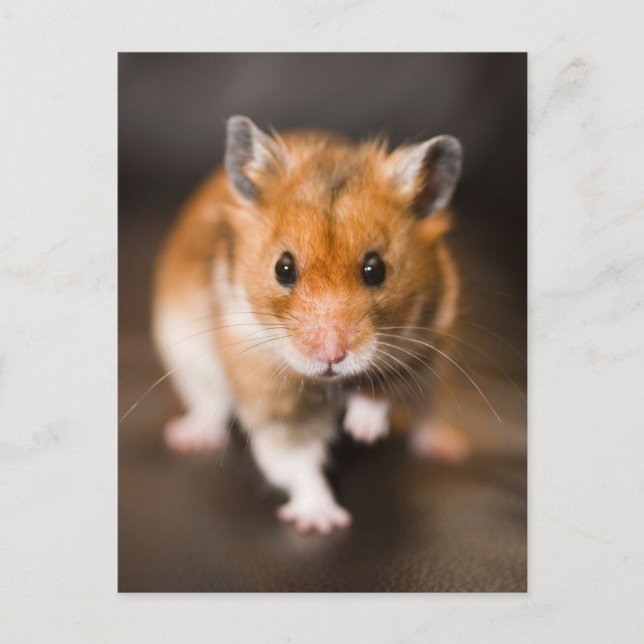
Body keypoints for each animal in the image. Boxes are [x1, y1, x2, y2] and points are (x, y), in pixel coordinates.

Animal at [153, 115, 464, 534]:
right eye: (283, 268)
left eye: (376, 268)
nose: (331, 356)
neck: (330, 385)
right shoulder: (270, 398)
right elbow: (295, 461)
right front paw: (323, 524)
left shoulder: (426, 342)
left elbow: (386, 387)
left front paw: (363, 432)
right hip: (189, 361)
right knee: (208, 406)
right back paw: (188, 439)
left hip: (435, 374)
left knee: (425, 413)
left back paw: (449, 447)